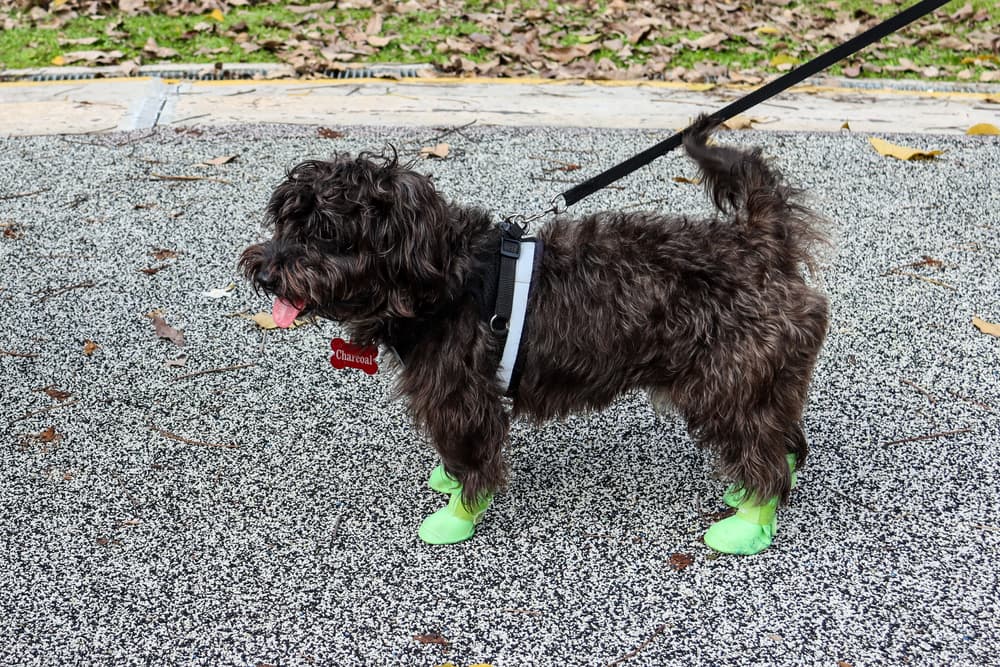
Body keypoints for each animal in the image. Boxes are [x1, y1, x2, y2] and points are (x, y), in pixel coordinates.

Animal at [240, 118, 828, 552]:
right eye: (285, 224)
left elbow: (472, 458)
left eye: (326, 234)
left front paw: (459, 512)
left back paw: (748, 521)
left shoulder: (461, 397)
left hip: (727, 384)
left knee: (765, 453)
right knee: (783, 442)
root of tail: (762, 244)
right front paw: (447, 480)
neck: (437, 275)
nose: (265, 270)